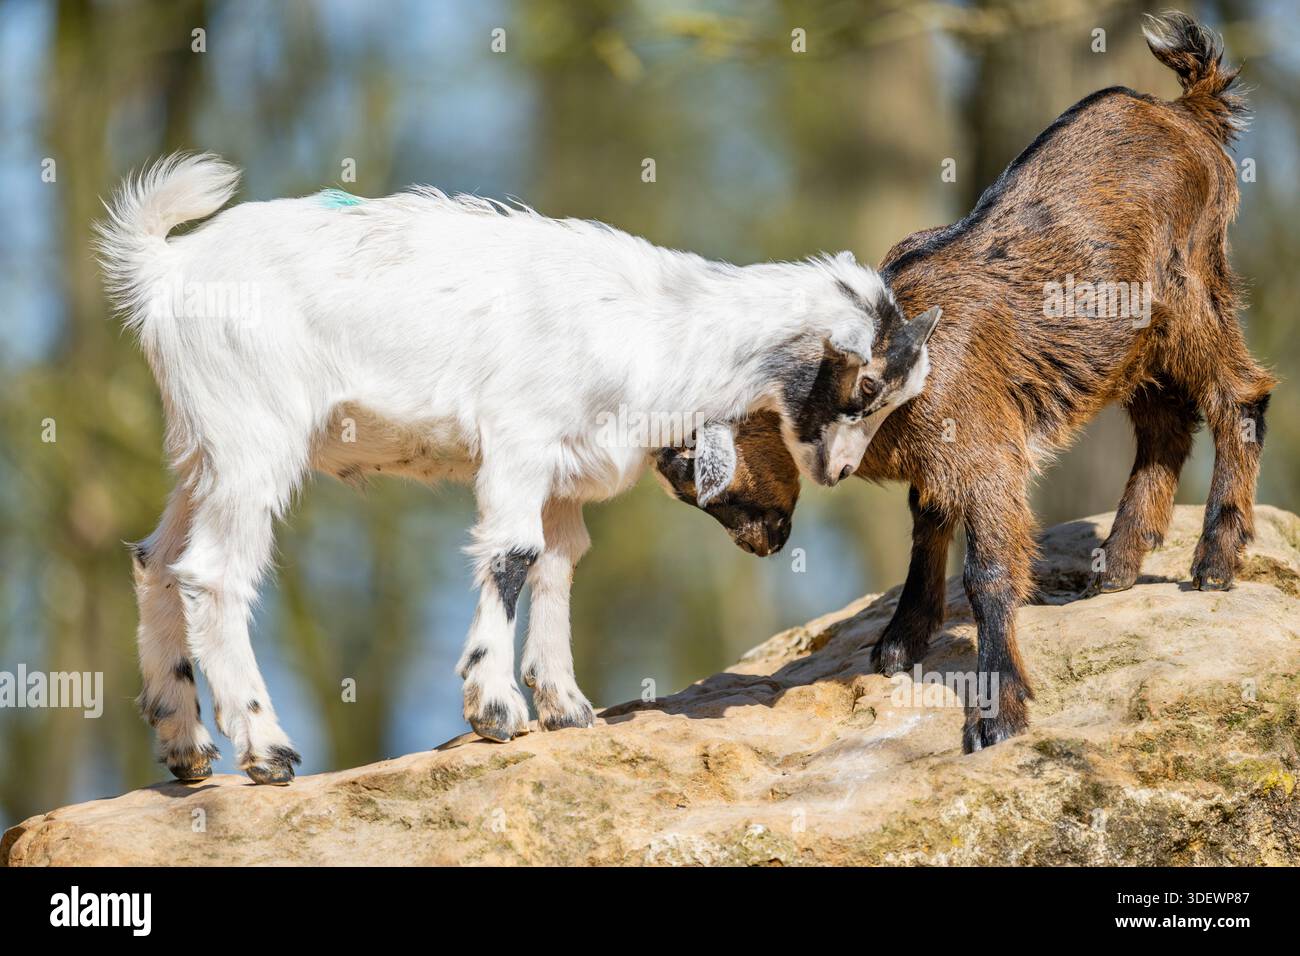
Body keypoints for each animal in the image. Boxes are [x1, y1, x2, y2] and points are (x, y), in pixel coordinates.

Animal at [97, 157, 939, 783]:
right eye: (866, 388)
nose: (827, 483)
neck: (661, 324)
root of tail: (168, 268)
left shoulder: (562, 473)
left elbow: (559, 563)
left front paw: (564, 705)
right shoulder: (518, 443)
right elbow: (512, 554)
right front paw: (495, 708)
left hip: (202, 450)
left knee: (156, 559)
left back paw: (185, 745)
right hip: (254, 439)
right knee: (214, 572)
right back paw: (265, 750)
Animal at [659, 13, 1275, 752]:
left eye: (701, 458)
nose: (759, 543)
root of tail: (1187, 111)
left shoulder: (983, 450)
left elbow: (987, 574)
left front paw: (997, 714)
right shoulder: (940, 454)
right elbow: (928, 527)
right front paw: (899, 645)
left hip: (1188, 289)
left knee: (1239, 394)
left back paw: (1214, 562)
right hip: (1127, 344)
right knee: (1165, 425)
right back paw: (1118, 567)